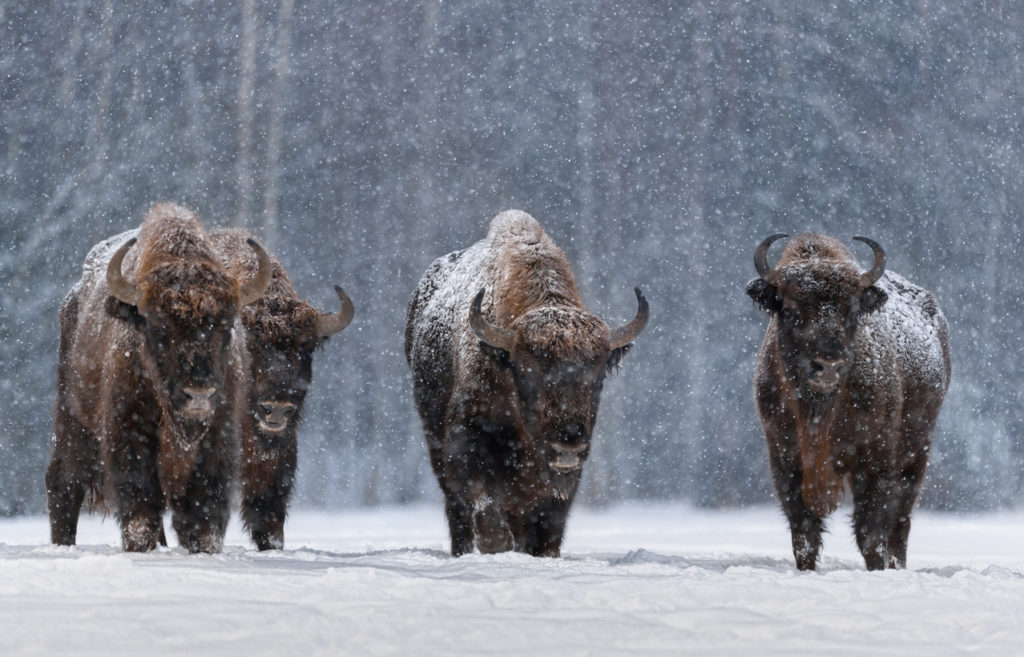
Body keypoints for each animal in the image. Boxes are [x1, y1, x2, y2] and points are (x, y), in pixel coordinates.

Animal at [47, 202, 272, 548]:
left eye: (225, 327)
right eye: (157, 327)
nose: (198, 395)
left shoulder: (218, 437)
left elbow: (203, 517)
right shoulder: (129, 434)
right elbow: (140, 511)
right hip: (72, 418)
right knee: (65, 483)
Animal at [401, 208, 647, 552]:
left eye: (598, 377)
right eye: (528, 373)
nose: (567, 446)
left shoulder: (562, 485)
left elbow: (547, 529)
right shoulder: (467, 442)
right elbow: (483, 503)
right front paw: (495, 542)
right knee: (458, 513)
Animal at [745, 231, 950, 568]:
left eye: (853, 312)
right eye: (788, 310)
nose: (828, 365)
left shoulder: (875, 460)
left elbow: (871, 533)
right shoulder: (784, 458)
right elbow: (804, 534)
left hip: (916, 450)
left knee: (900, 521)